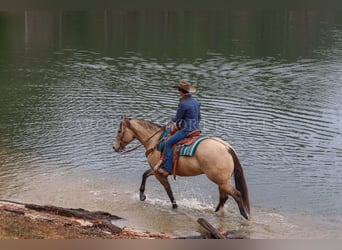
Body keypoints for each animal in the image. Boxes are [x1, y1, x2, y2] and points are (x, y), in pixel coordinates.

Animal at [113, 115, 250, 219]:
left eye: (119, 131)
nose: (114, 147)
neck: (155, 141)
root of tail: (227, 147)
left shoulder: (159, 173)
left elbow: (169, 191)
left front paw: (175, 207)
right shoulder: (156, 170)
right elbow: (145, 174)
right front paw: (142, 196)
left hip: (221, 181)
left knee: (236, 194)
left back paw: (244, 215)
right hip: (222, 181)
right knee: (224, 197)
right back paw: (215, 212)